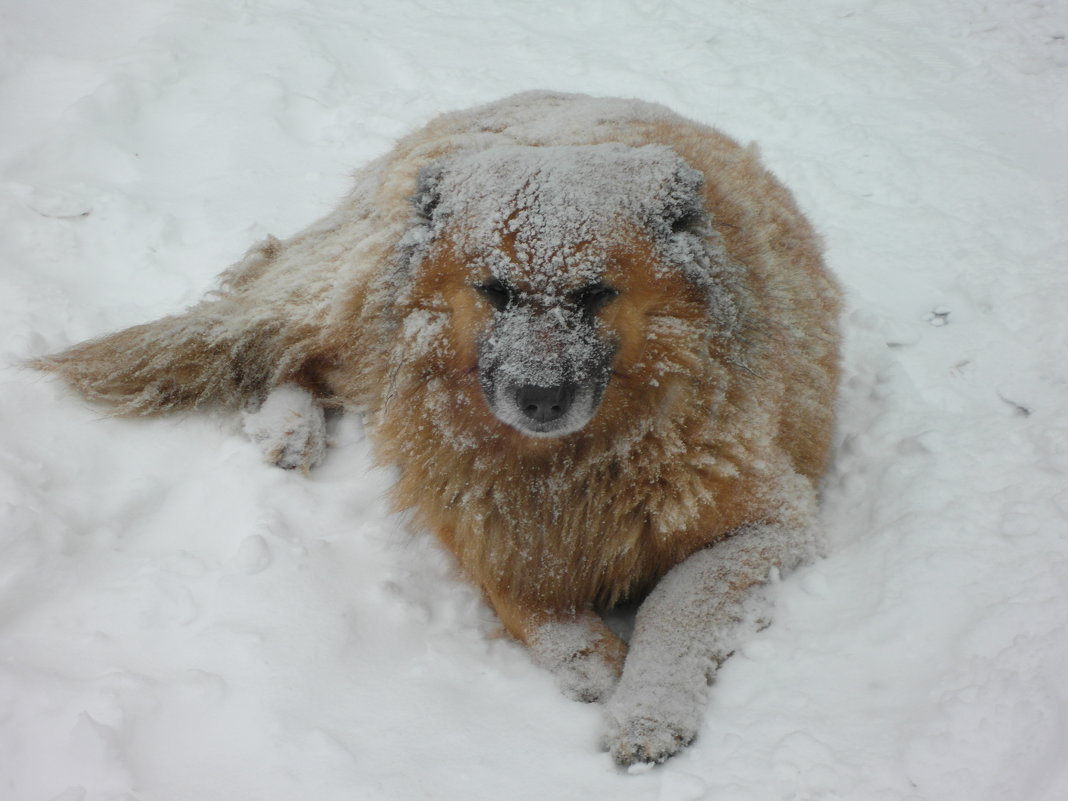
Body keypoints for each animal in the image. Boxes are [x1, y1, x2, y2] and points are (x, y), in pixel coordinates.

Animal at [33, 90, 841, 768]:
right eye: (494, 290)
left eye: (595, 293)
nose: (538, 399)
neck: (570, 465)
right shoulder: (475, 515)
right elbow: (528, 603)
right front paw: (594, 665)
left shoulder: (773, 523)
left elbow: (678, 602)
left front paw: (646, 707)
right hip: (356, 303)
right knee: (285, 350)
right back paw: (288, 429)